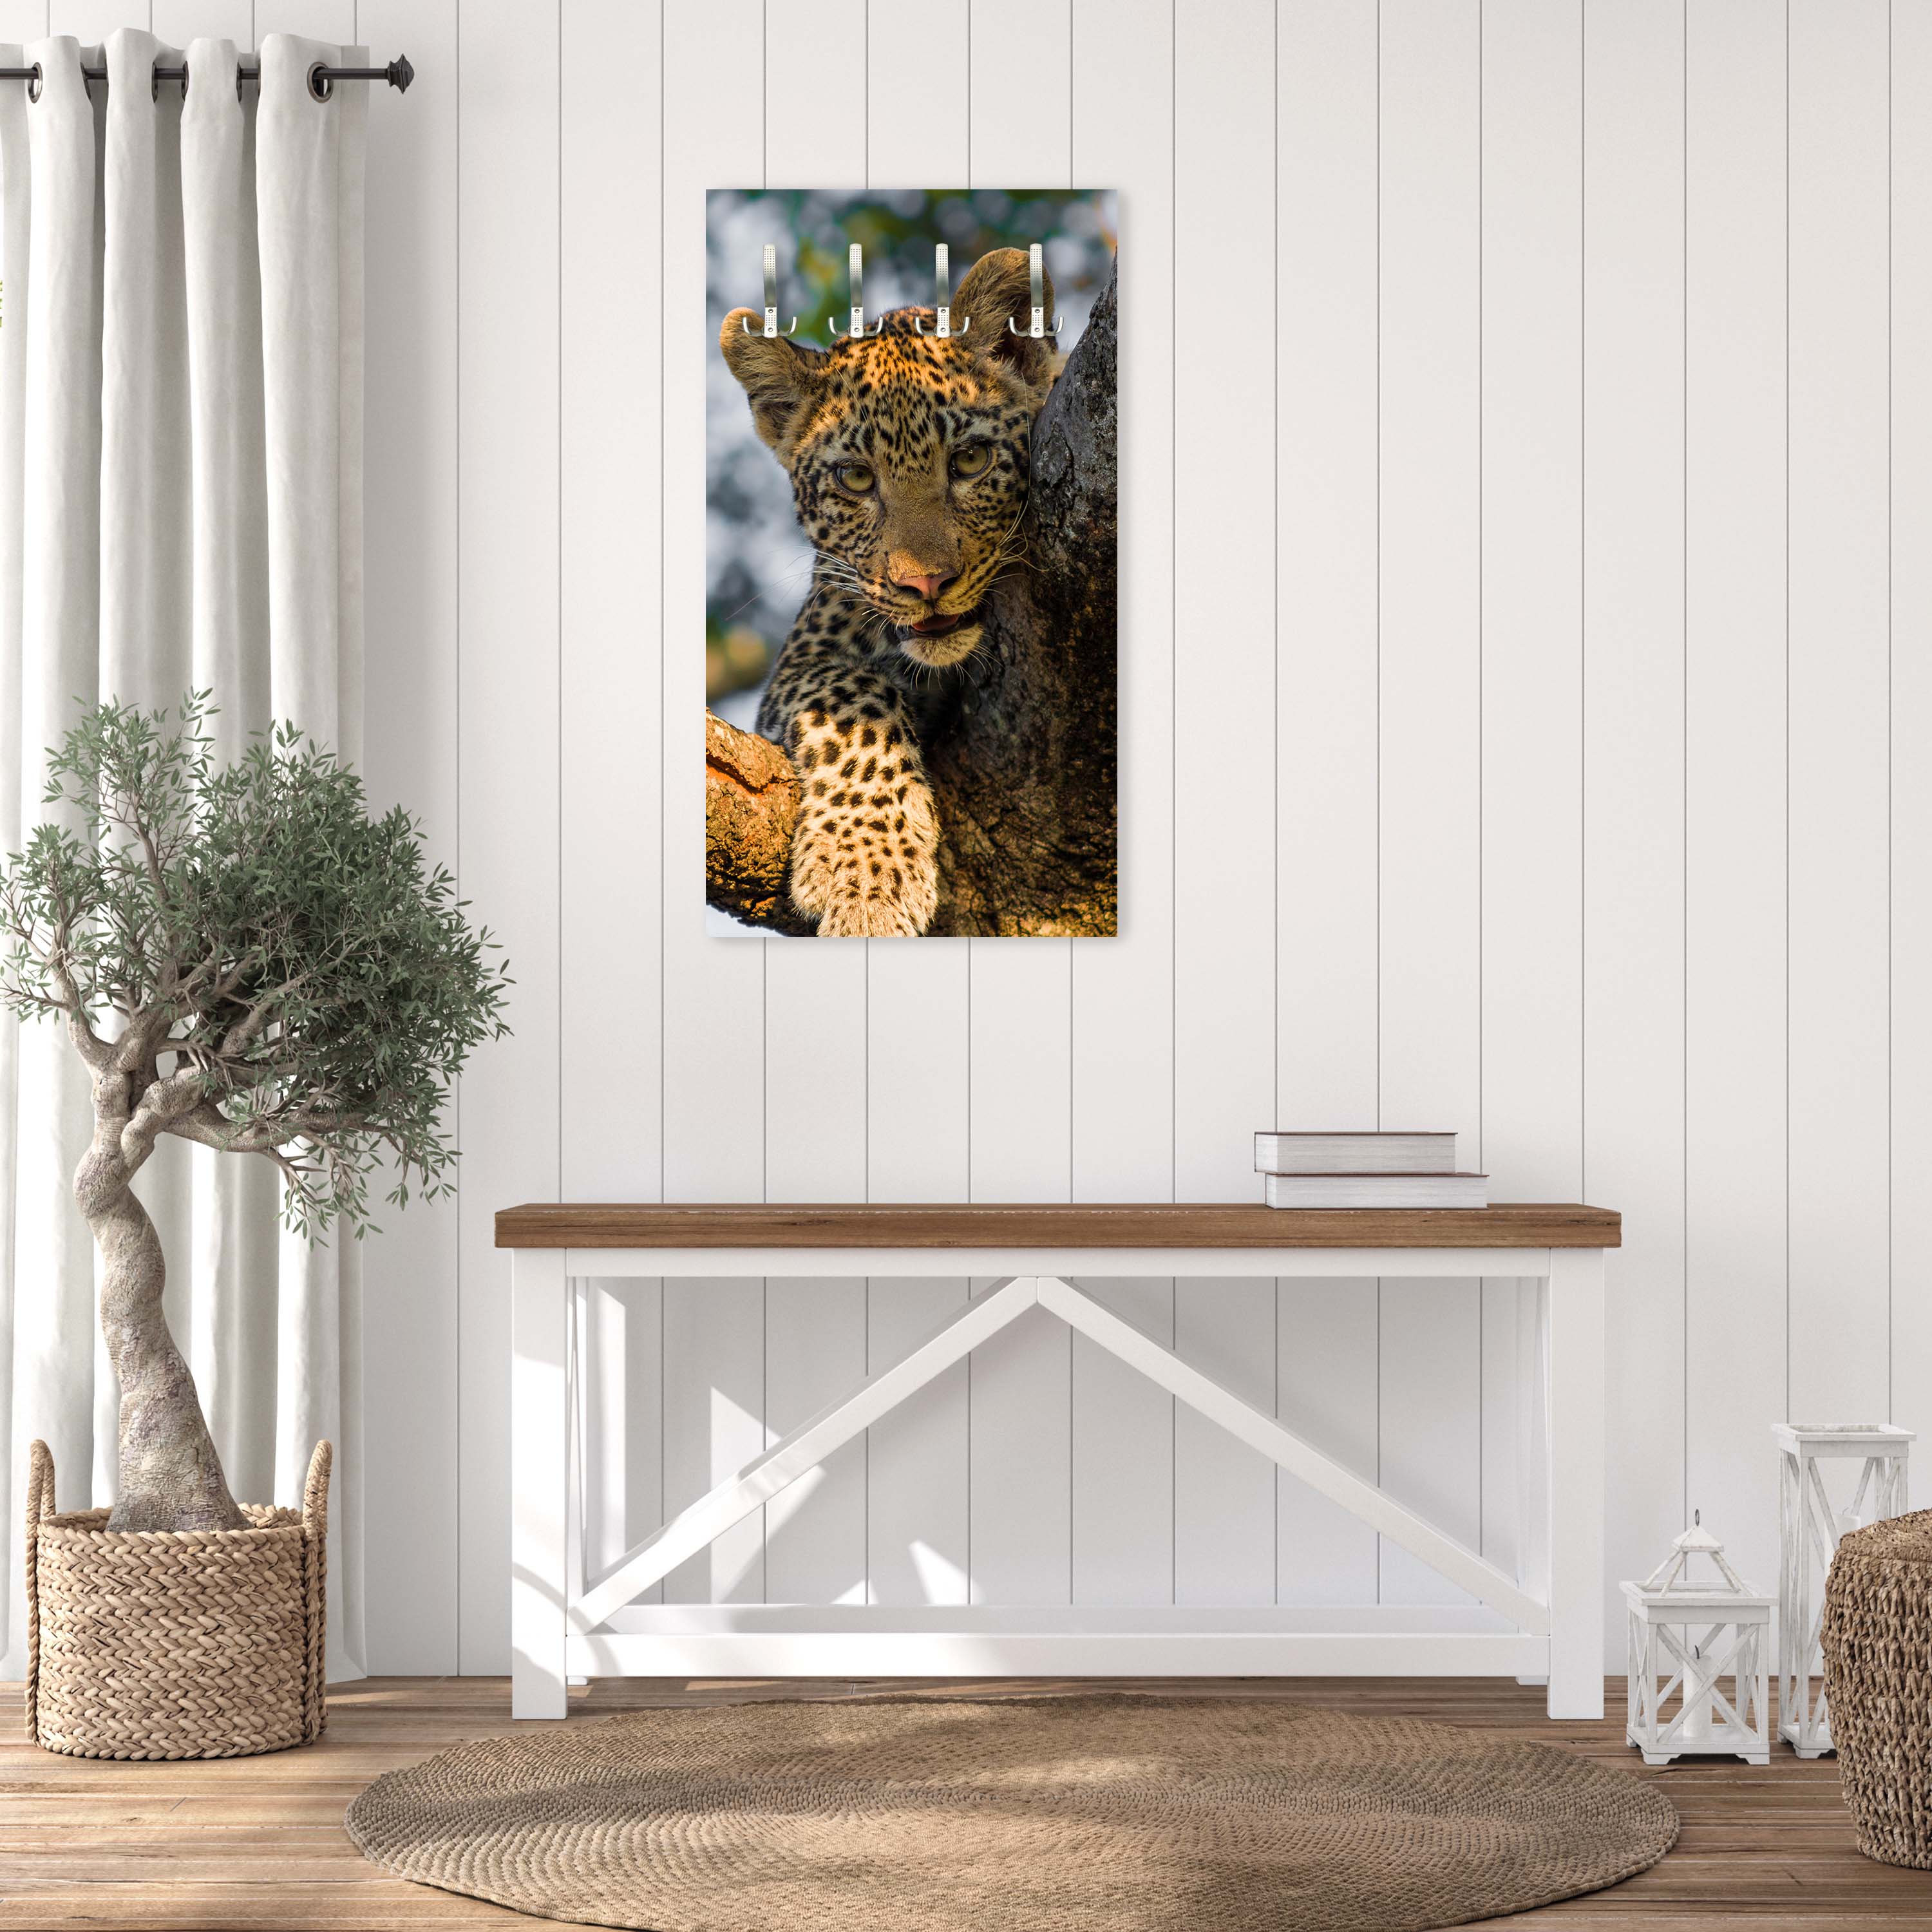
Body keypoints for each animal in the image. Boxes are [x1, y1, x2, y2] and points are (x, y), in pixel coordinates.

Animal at [720, 247, 1059, 937]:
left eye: (971, 460)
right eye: (855, 478)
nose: (925, 583)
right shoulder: (803, 659)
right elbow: (856, 699)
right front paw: (867, 877)